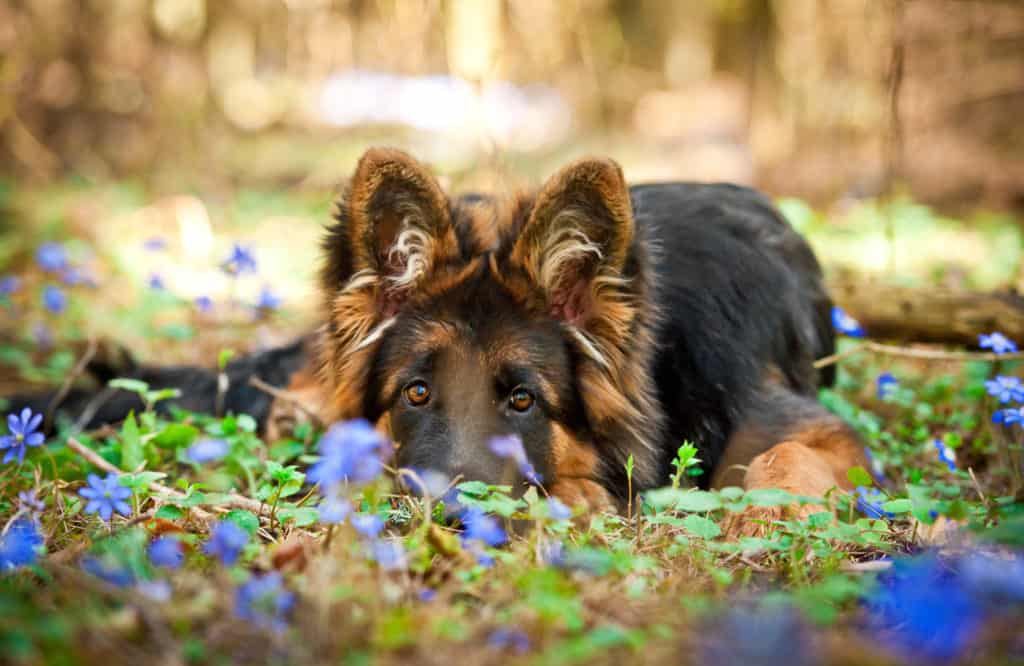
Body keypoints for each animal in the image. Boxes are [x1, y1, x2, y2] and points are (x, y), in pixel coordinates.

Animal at [12, 147, 868, 524]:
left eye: (523, 402)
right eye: (416, 393)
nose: (450, 518)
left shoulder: (806, 424)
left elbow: (785, 459)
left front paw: (768, 514)